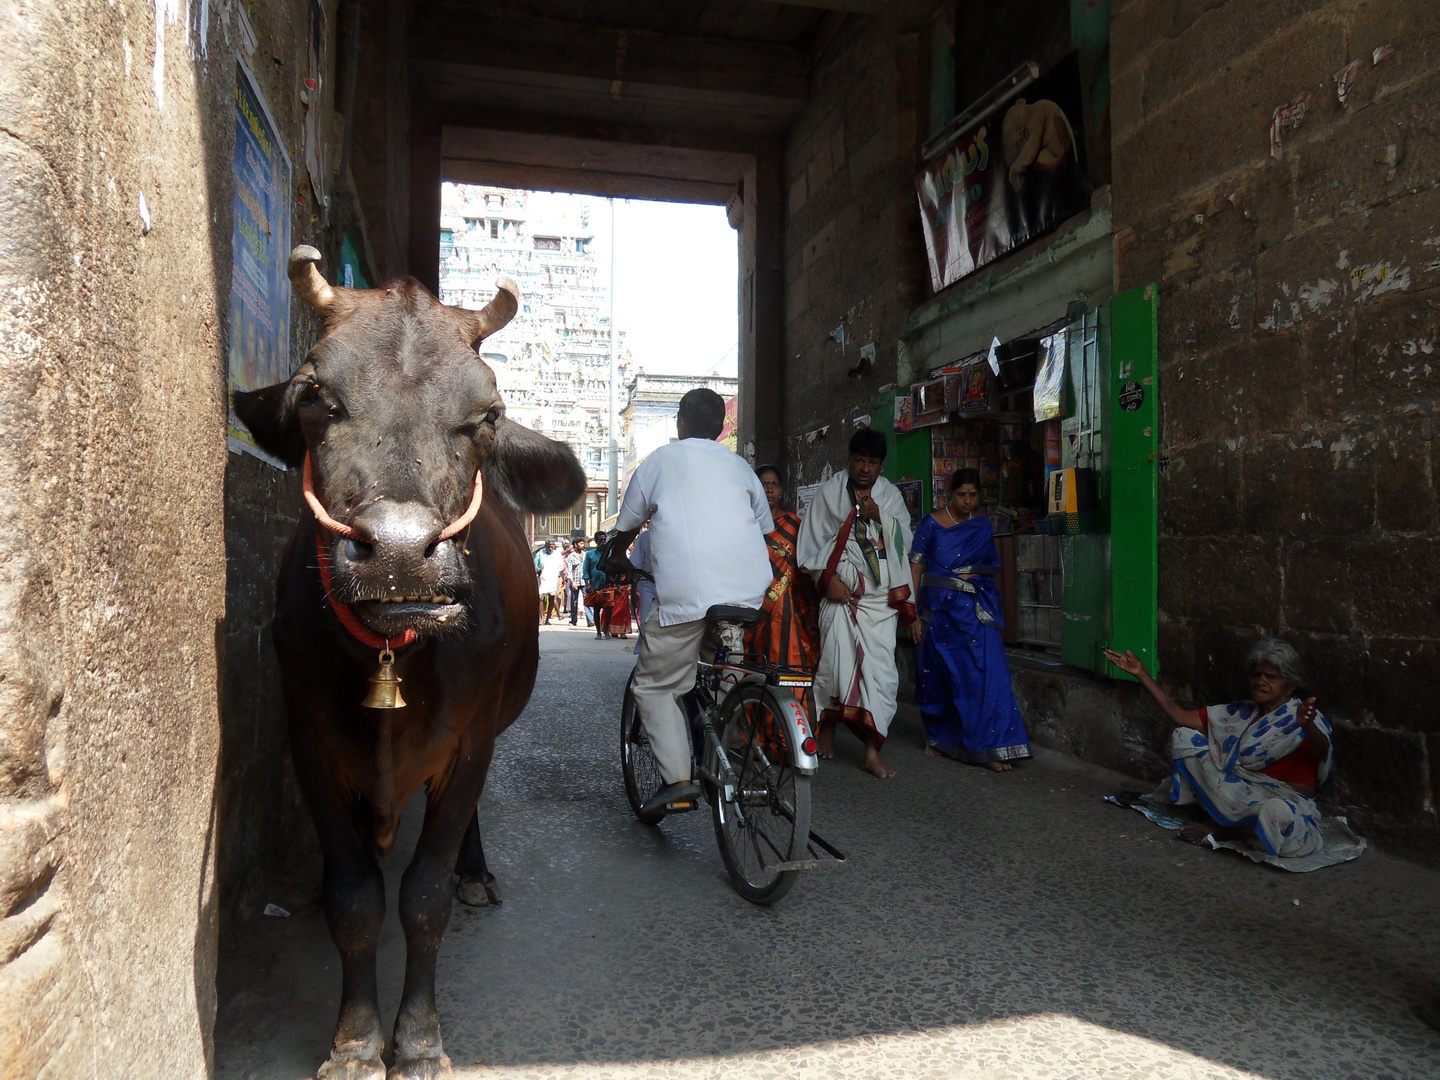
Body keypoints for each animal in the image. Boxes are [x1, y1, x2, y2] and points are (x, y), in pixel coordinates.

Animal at [233, 247, 581, 1080]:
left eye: (487, 415)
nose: (398, 552)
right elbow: (356, 897)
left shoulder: (471, 742)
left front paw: (418, 1041)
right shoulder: (310, 740)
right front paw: (356, 1043)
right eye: (314, 394)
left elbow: (423, 897)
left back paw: (476, 871)